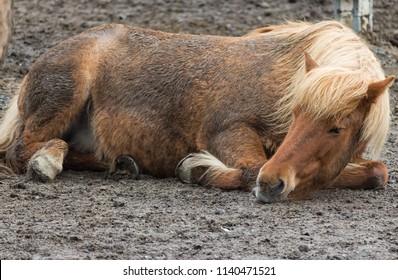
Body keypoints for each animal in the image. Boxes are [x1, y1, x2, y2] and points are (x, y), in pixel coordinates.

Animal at [0, 20, 394, 202]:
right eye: (296, 113)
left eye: (337, 128)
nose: (273, 184)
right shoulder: (228, 131)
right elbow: (250, 168)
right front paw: (198, 168)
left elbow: (378, 172)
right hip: (62, 99)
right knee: (22, 151)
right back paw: (47, 161)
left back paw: (122, 165)